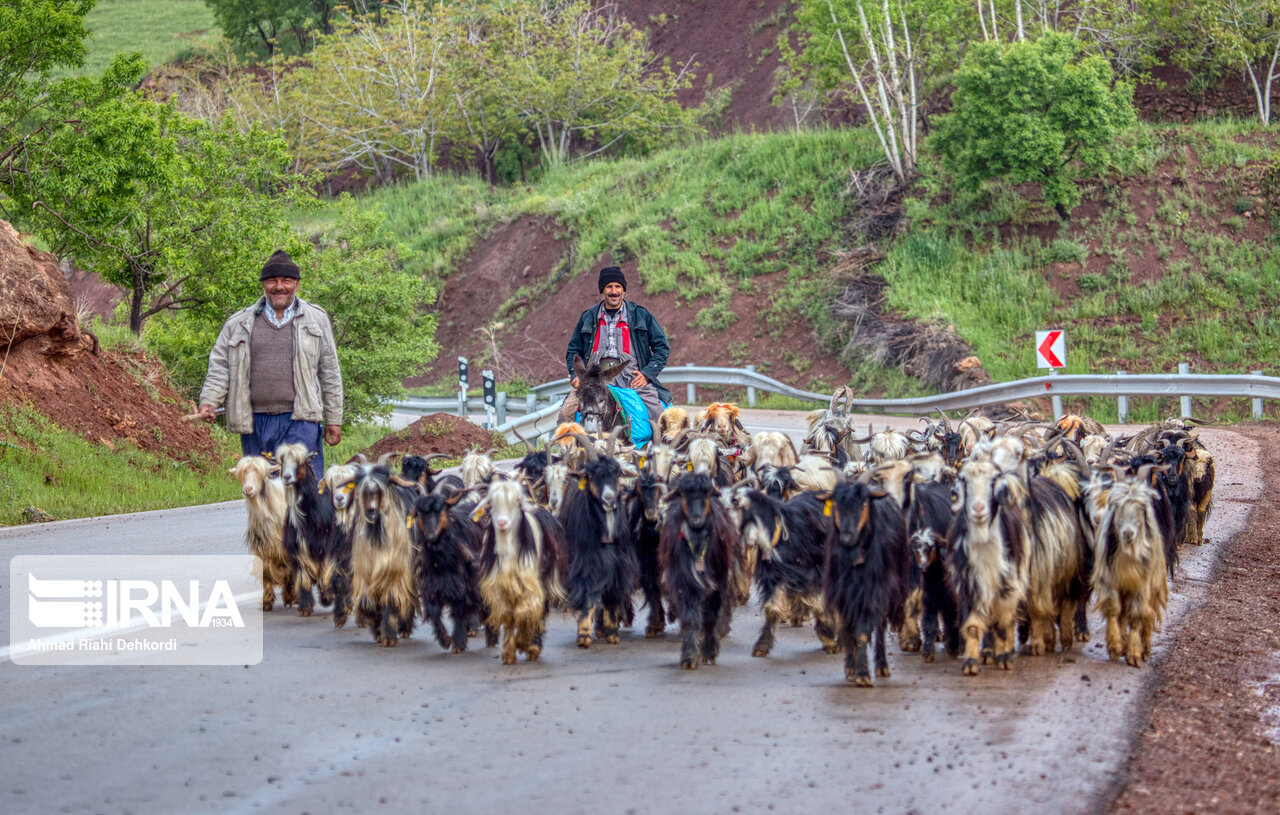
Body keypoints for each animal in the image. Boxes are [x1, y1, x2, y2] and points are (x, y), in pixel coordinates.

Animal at [660, 470, 742, 665]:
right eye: (683, 494)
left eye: (707, 493)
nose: (696, 519)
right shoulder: (684, 581)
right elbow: (691, 616)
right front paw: (689, 655)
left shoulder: (719, 581)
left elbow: (711, 616)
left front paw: (709, 650)